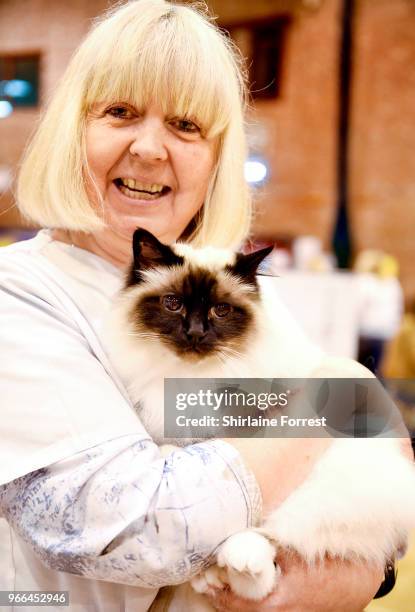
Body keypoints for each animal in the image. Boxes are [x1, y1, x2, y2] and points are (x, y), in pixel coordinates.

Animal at [103, 228, 415, 608]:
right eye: (172, 304)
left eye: (221, 310)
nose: (195, 333)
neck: (193, 377)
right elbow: (175, 452)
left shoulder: (255, 418)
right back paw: (218, 573)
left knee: (273, 541)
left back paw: (240, 562)